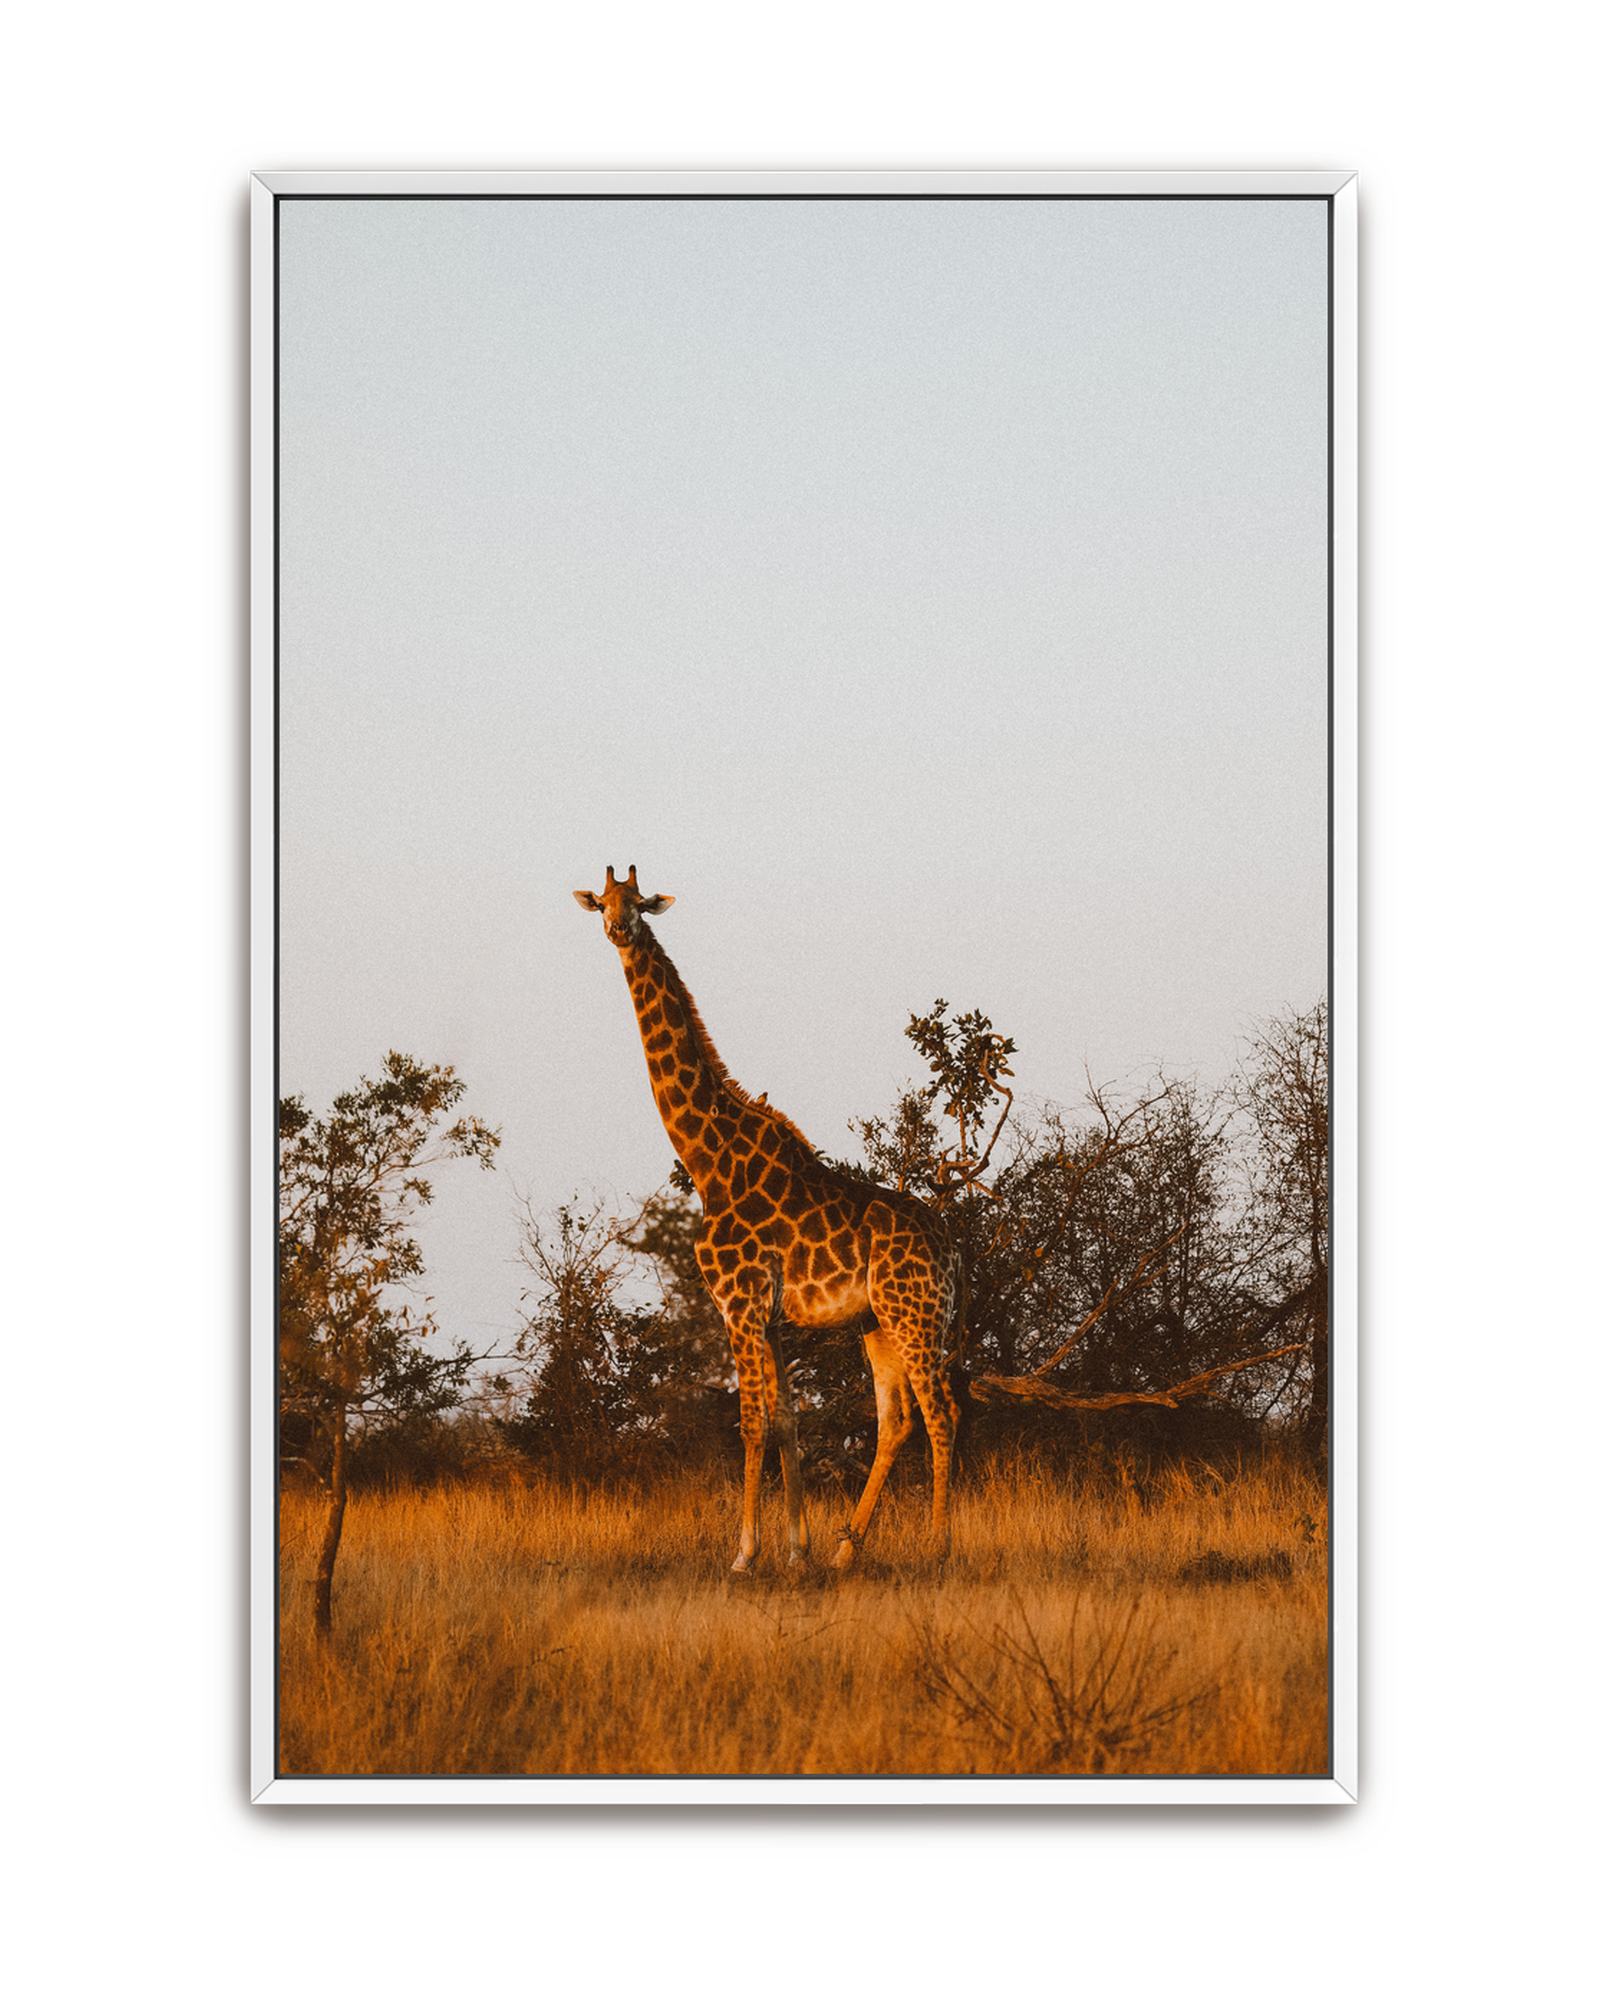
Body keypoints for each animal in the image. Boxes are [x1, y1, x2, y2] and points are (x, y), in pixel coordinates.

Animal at [574, 865, 963, 1572]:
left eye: (638, 902)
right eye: (602, 903)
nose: (618, 929)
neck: (709, 1162)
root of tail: (953, 1248)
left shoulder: (739, 1301)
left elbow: (751, 1420)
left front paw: (744, 1553)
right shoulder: (774, 1316)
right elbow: (786, 1419)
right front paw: (798, 1551)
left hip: (915, 1314)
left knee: (940, 1413)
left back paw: (939, 1548)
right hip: (878, 1322)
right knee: (896, 1421)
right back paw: (844, 1553)